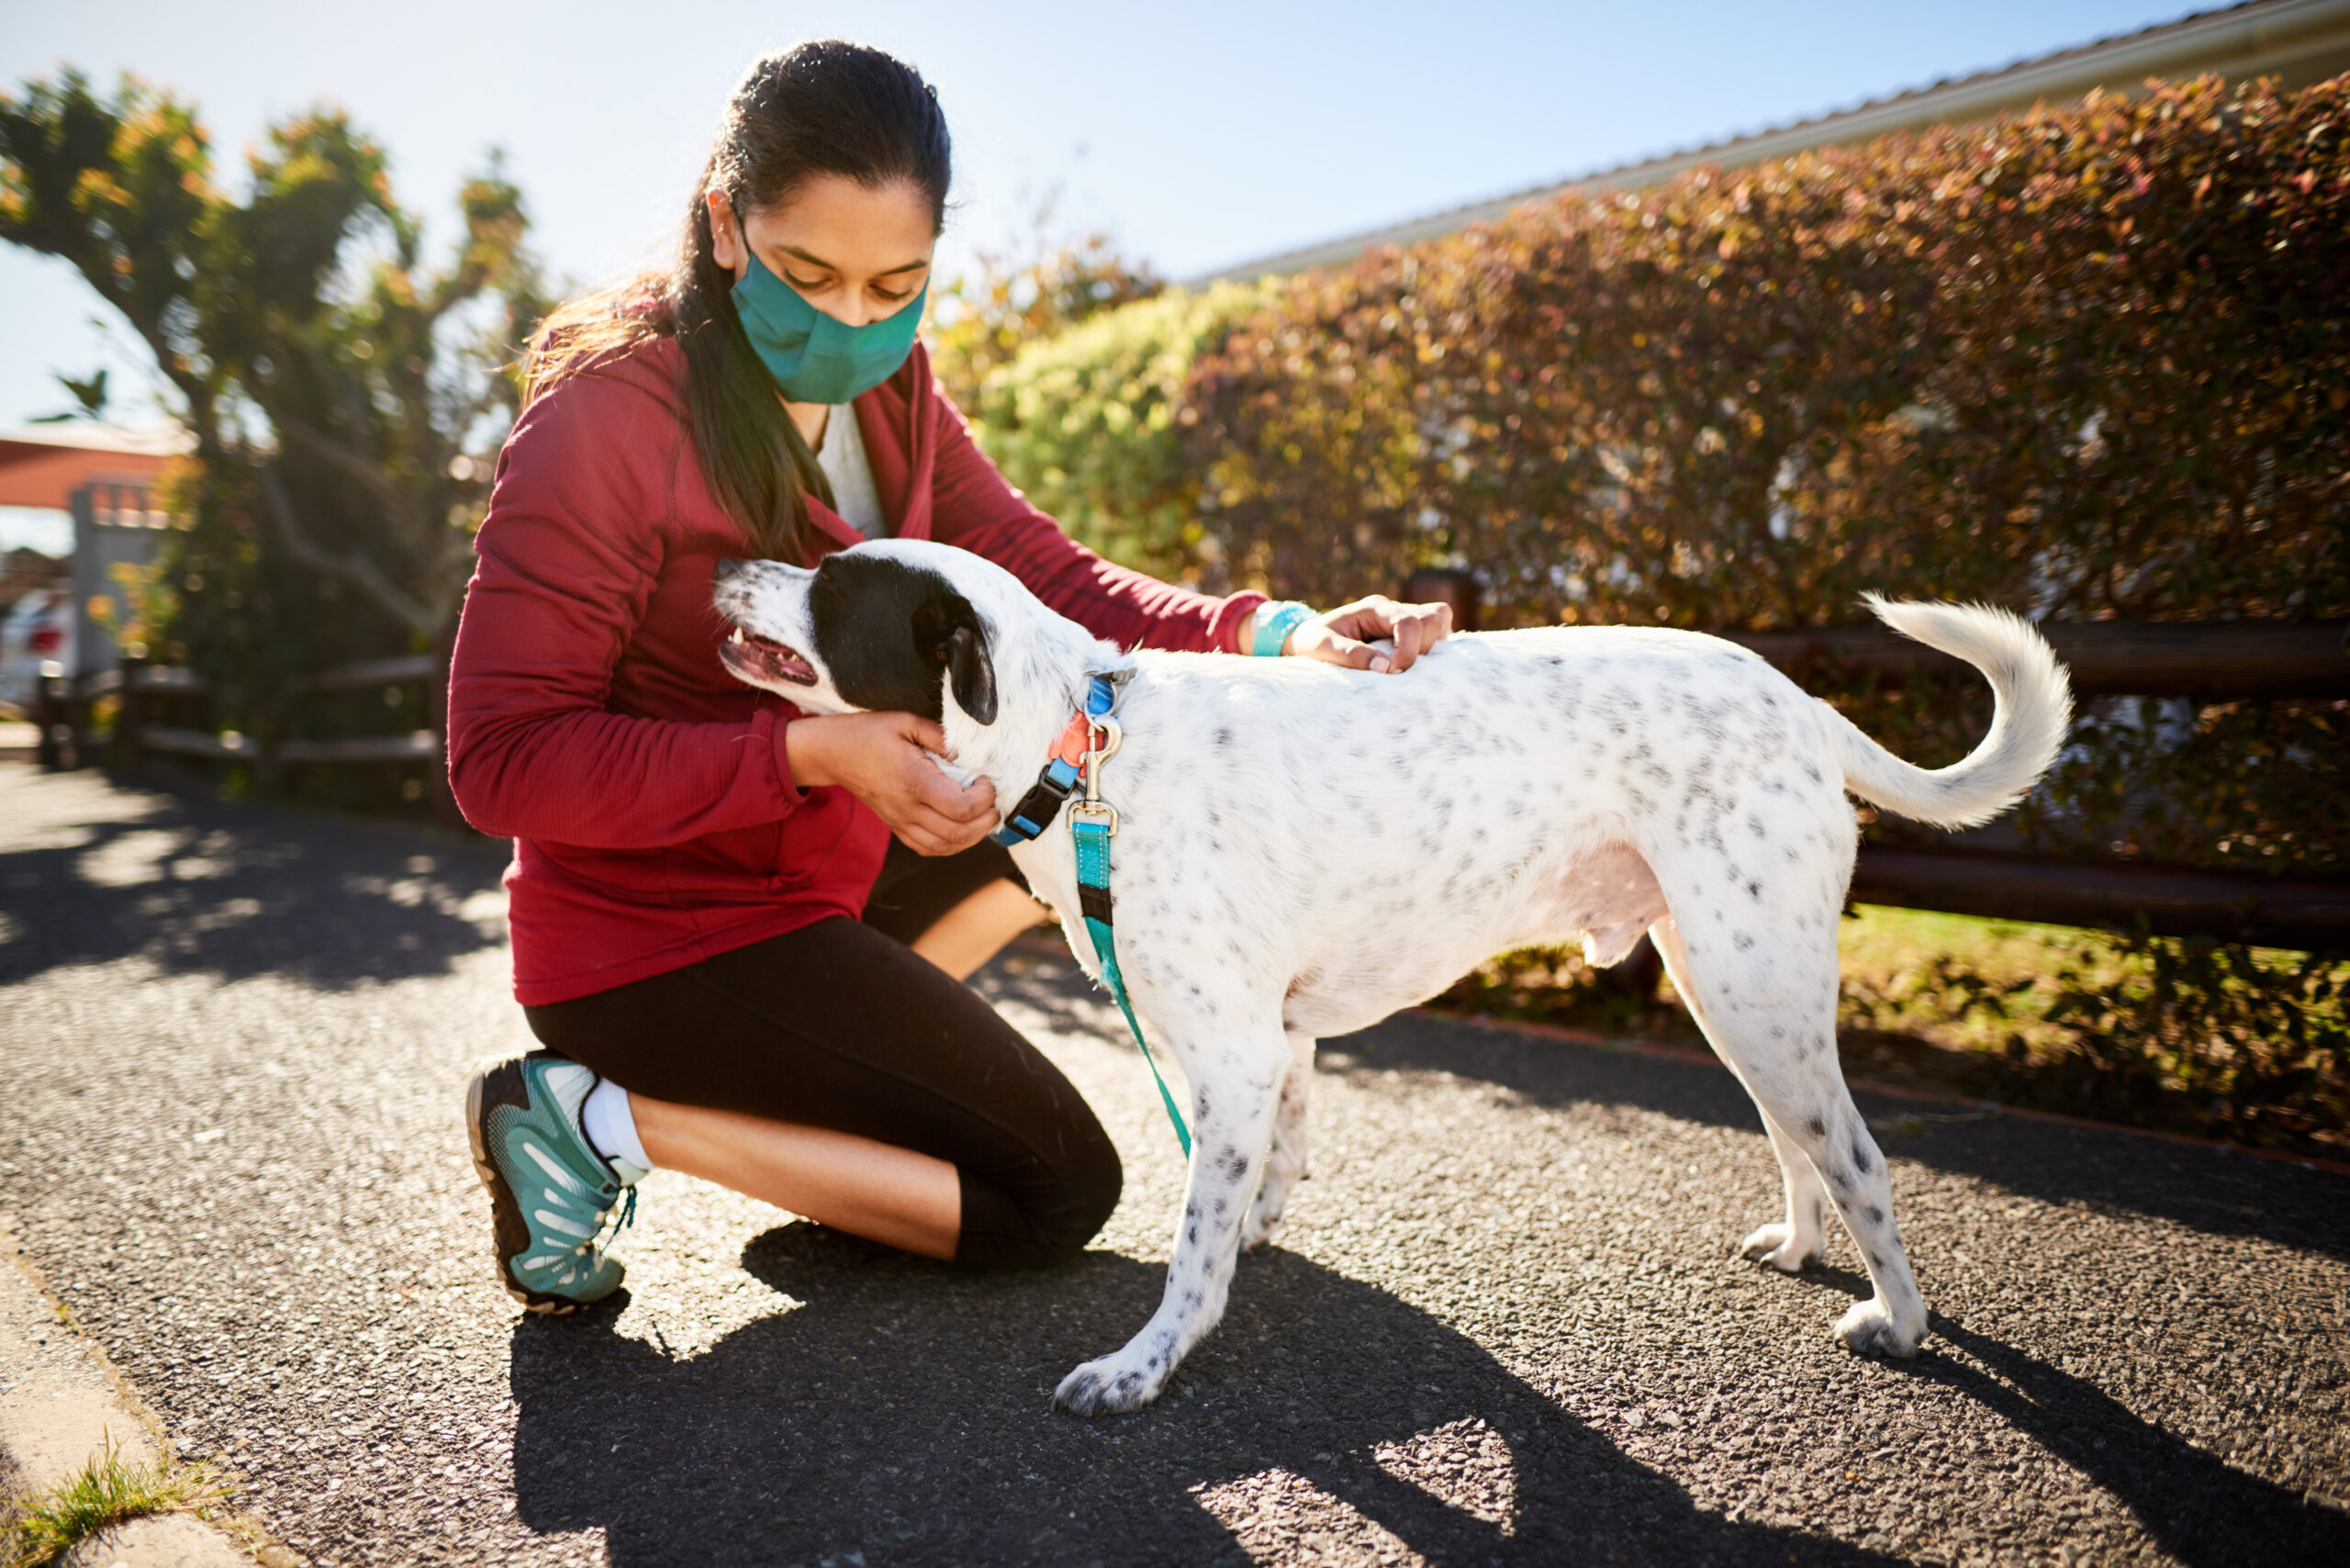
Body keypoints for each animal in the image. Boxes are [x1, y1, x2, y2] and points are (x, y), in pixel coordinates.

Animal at [710, 543, 2077, 1419]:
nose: (720, 565)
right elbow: (1263, 1174)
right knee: (1801, 1142)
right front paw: (1250, 1236)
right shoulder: (1272, 1045)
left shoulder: (1235, 1053)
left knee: (1862, 1157)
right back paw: (1799, 1248)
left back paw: (1900, 1322)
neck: (1085, 741)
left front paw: (1147, 1365)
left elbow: (1192, 1252)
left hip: (1759, 989)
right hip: (1728, 986)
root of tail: (1798, 698)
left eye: (832, 582)